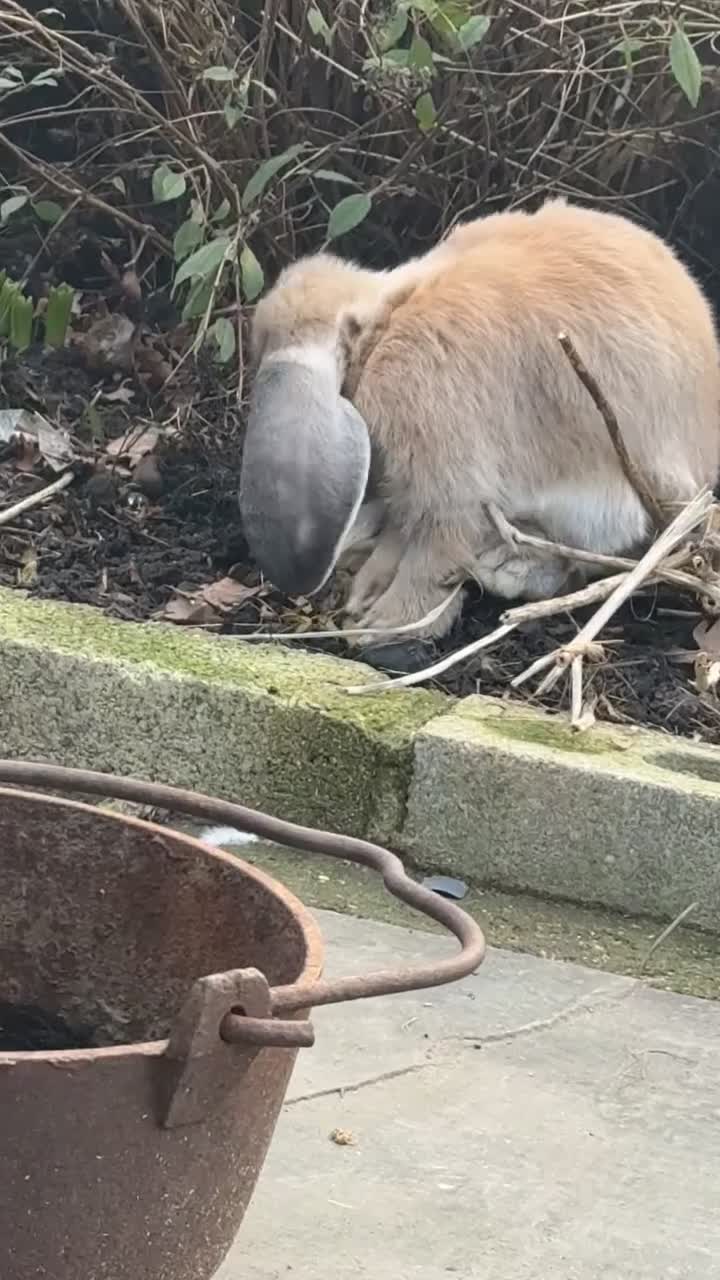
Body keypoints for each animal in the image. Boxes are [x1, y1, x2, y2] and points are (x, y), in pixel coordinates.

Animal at [240, 198, 720, 646]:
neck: (386, 322)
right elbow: (402, 536)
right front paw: (366, 595)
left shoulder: (446, 471)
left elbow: (435, 553)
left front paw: (384, 625)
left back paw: (503, 570)